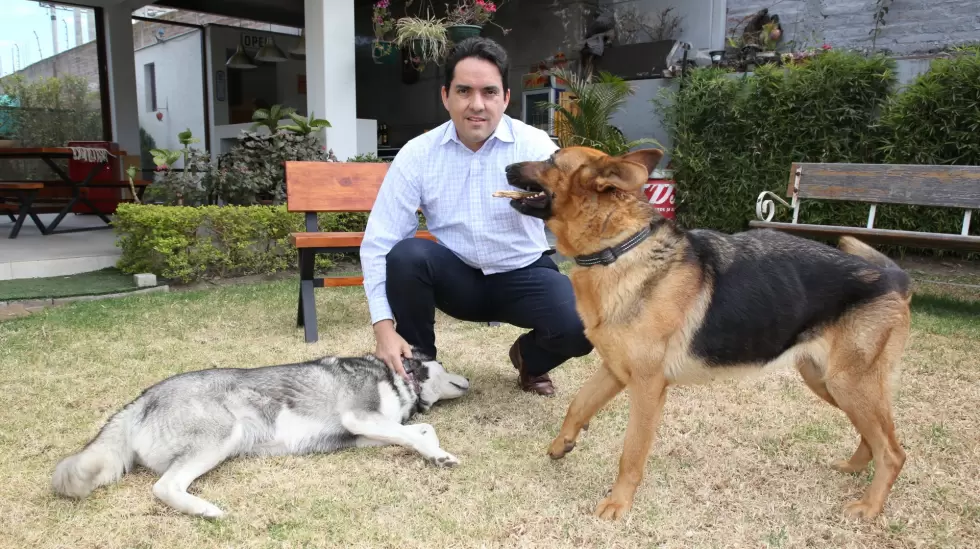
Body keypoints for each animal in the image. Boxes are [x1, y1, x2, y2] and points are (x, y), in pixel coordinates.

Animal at [49, 352, 470, 520]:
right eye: (445, 364)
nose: (468, 379)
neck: (400, 377)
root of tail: (142, 398)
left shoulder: (367, 431)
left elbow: (421, 430)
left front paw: (436, 452)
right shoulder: (360, 418)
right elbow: (418, 432)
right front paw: (436, 453)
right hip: (222, 435)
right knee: (164, 487)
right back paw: (204, 510)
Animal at [502, 147, 916, 524]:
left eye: (552, 159)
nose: (505, 167)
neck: (618, 248)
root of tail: (895, 278)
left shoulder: (647, 388)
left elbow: (631, 452)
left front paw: (618, 503)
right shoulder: (615, 370)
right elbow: (578, 405)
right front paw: (562, 443)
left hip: (848, 384)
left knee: (894, 452)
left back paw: (870, 505)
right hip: (828, 382)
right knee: (875, 437)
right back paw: (855, 469)